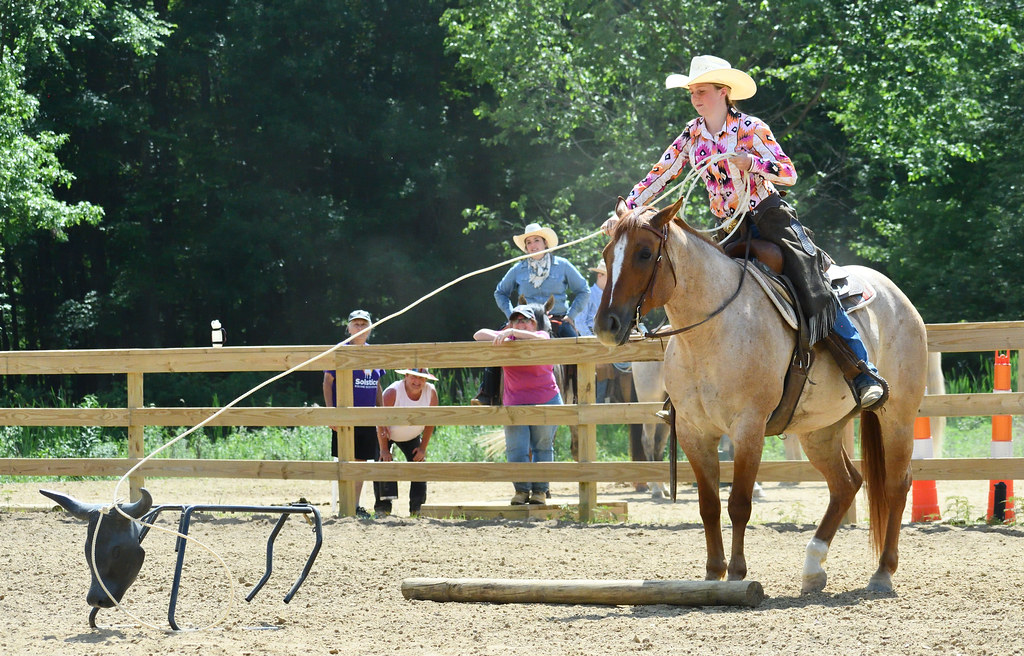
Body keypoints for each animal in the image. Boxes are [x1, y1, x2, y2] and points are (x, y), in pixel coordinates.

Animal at [595, 198, 927, 594]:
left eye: (644, 253)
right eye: (607, 253)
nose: (606, 325)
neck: (711, 331)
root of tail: (897, 295)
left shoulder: (748, 428)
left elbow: (739, 503)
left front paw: (738, 573)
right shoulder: (694, 432)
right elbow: (708, 505)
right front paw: (713, 573)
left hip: (898, 415)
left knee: (896, 485)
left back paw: (882, 572)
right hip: (820, 430)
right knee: (846, 484)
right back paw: (812, 569)